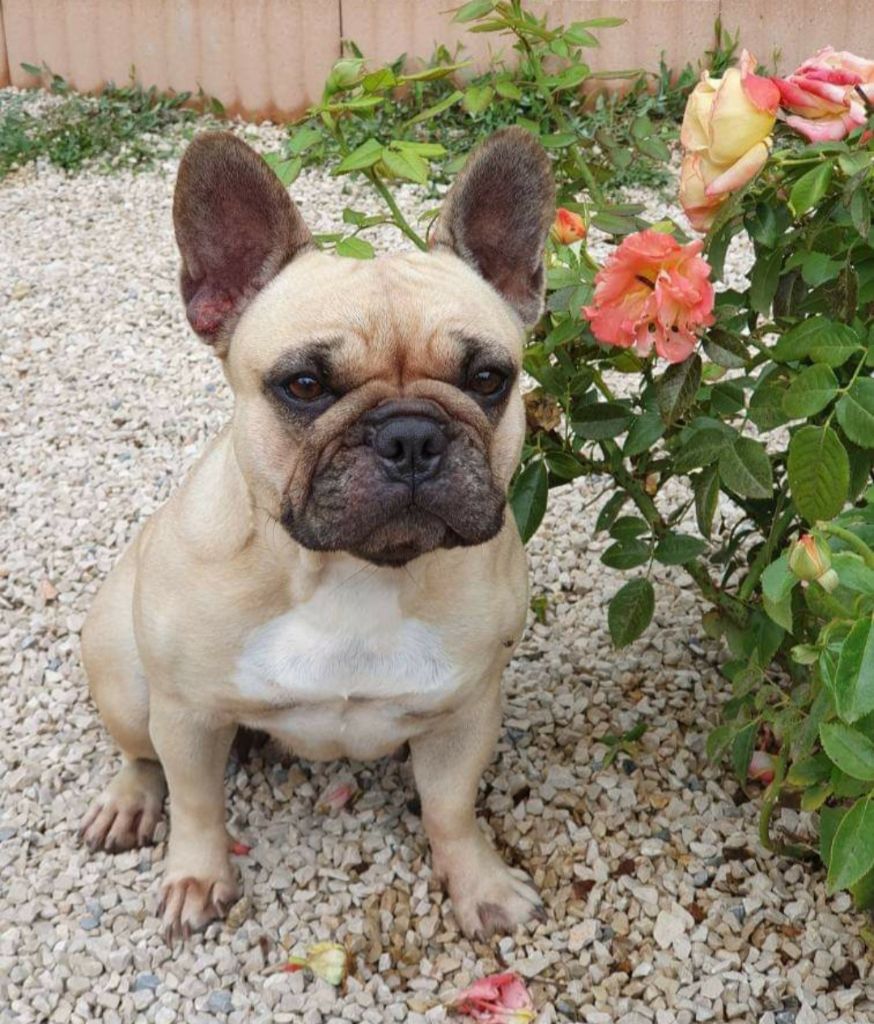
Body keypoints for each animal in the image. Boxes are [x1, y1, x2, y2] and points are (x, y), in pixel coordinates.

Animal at [80, 126, 555, 941]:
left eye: (488, 380)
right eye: (303, 386)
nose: (410, 437)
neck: (353, 574)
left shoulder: (466, 712)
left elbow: (451, 809)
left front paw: (480, 883)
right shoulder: (187, 714)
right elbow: (198, 804)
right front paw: (197, 877)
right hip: (127, 678)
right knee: (144, 758)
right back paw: (128, 802)